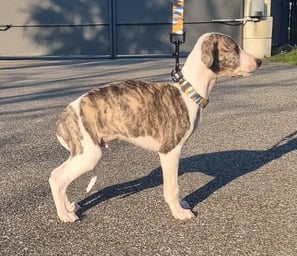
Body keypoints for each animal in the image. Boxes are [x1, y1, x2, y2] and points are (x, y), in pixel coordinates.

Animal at [49, 33, 260, 223]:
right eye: (233, 48)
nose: (259, 61)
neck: (188, 92)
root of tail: (64, 115)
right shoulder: (169, 151)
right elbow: (173, 187)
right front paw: (179, 213)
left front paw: (179, 206)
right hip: (89, 155)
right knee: (57, 178)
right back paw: (64, 215)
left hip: (81, 152)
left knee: (59, 175)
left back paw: (68, 206)